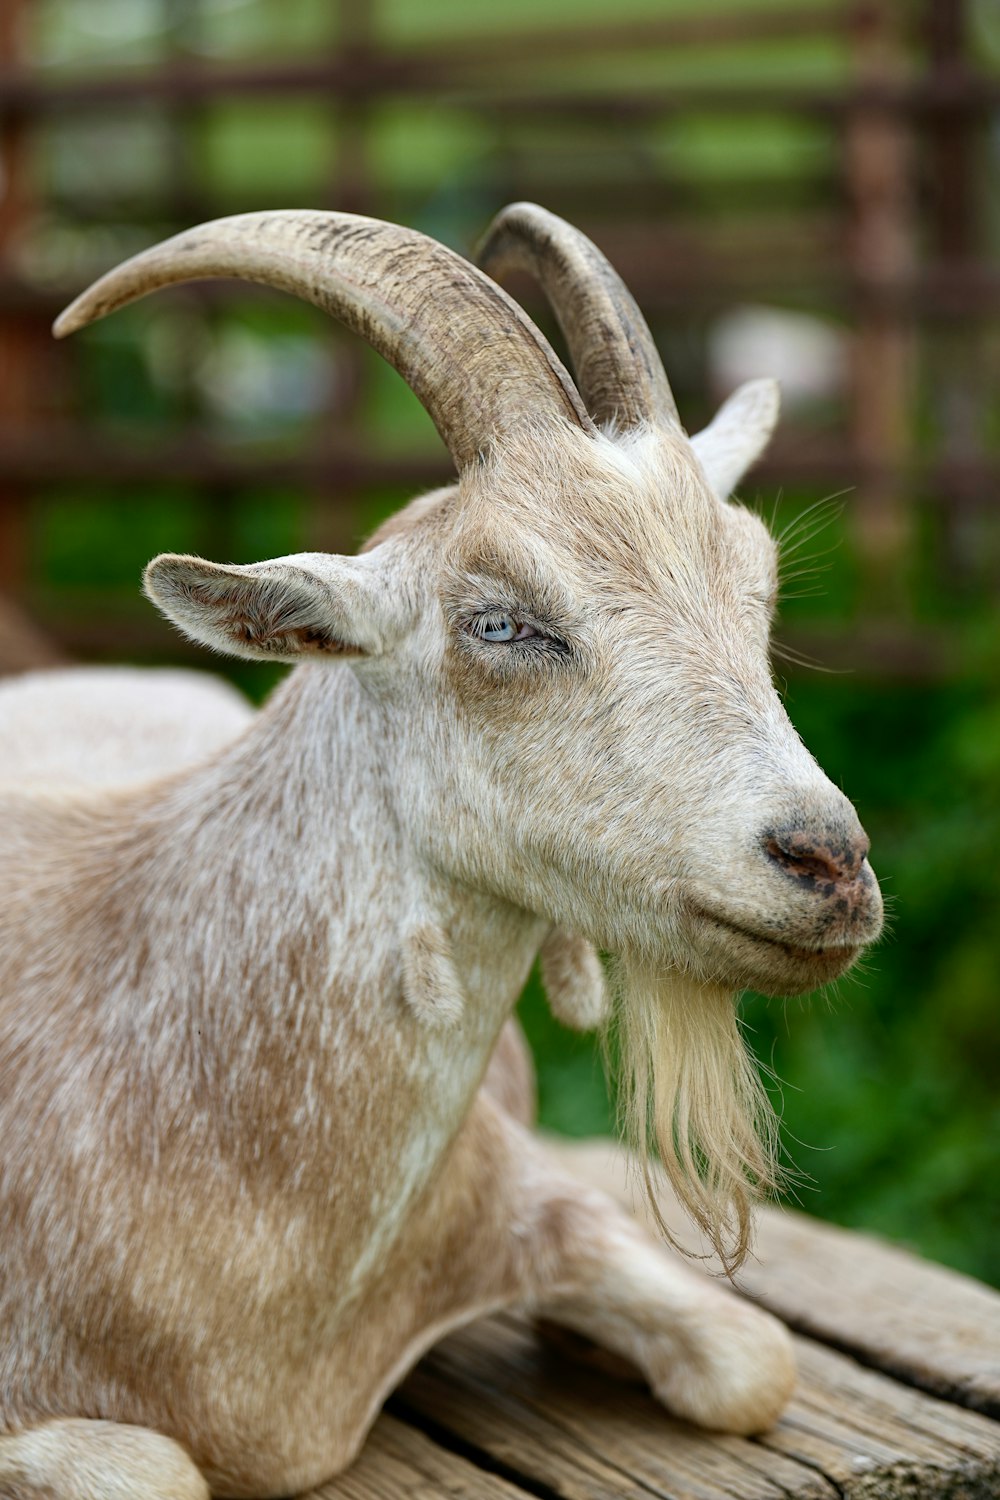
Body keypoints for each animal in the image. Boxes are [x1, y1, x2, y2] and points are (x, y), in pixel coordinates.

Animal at [0, 202, 881, 1500]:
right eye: (501, 622)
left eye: (758, 588)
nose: (825, 862)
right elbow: (157, 1470)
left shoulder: (523, 1193)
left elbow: (755, 1361)